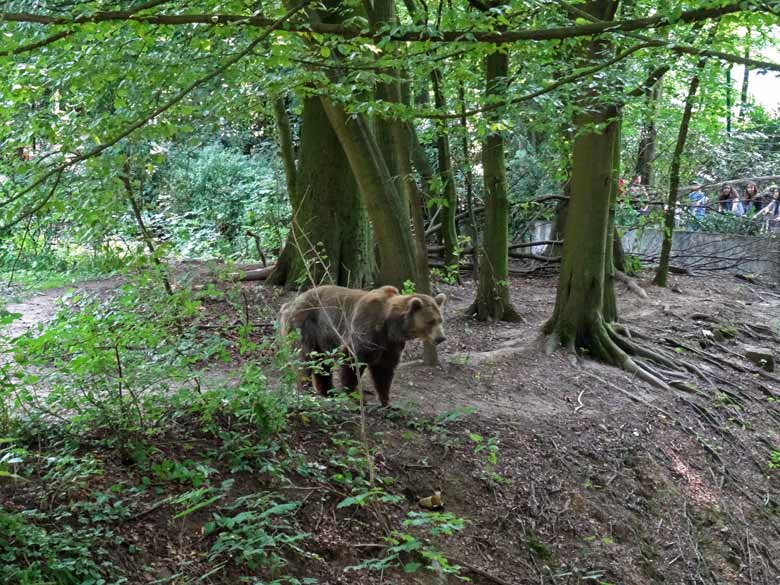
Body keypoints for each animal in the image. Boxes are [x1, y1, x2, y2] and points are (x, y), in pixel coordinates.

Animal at [280, 284, 448, 404]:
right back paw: (306, 388)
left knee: (321, 362)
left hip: (322, 337)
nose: (441, 337)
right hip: (305, 324)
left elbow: (384, 369)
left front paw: (386, 400)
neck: (390, 326)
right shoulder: (366, 329)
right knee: (305, 357)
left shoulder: (390, 344)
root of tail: (290, 303)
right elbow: (352, 360)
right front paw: (354, 395)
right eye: (430, 321)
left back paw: (328, 391)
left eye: (440, 320)